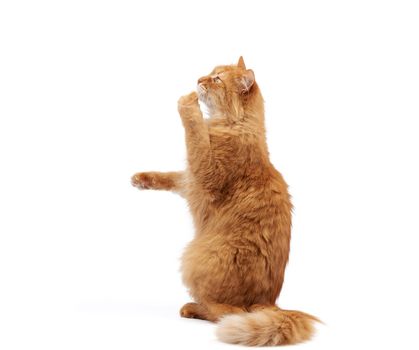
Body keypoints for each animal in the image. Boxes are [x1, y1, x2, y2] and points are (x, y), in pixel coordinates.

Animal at [131, 56, 318, 346]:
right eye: (210, 72)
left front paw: (188, 104)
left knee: (227, 312)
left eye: (217, 79)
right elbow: (169, 177)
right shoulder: (190, 181)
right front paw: (141, 180)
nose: (199, 80)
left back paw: (192, 308)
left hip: (196, 260)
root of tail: (270, 301)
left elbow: (194, 133)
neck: (235, 124)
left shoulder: (206, 175)